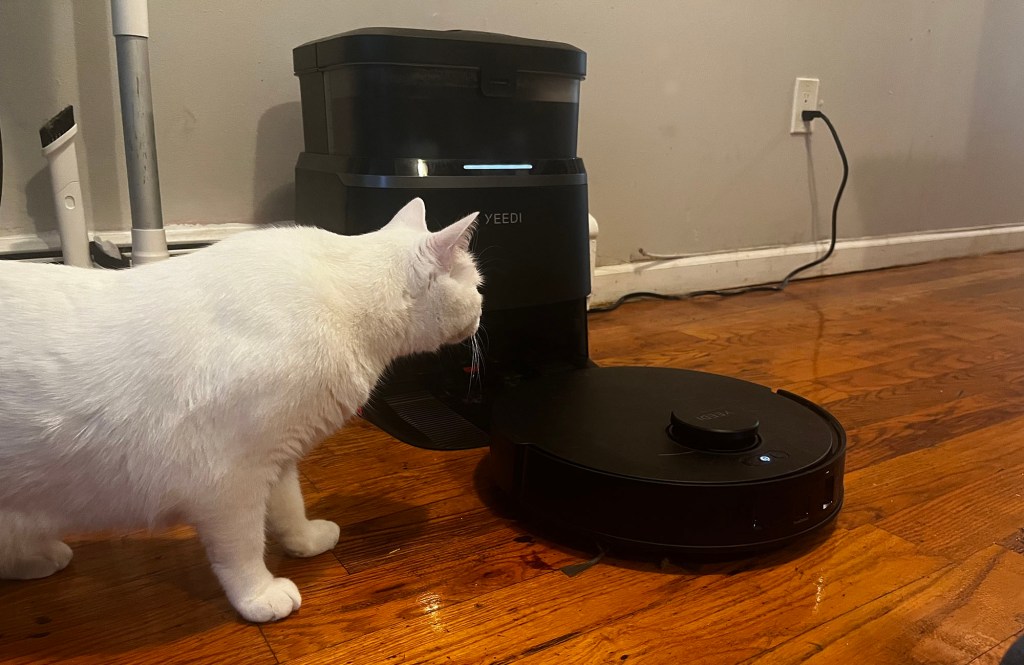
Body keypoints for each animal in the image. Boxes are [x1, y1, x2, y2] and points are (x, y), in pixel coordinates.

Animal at [0, 196, 483, 622]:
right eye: (478, 285)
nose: (483, 312)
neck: (347, 302)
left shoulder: (278, 457)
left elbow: (289, 508)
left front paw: (305, 541)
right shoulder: (230, 480)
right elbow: (243, 549)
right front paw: (259, 596)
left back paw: (36, 558)